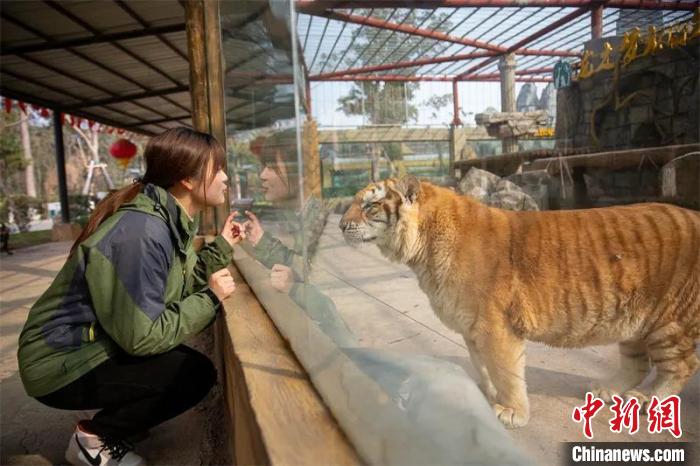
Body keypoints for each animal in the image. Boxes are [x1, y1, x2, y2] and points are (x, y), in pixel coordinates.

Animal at [340, 177, 700, 428]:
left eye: (370, 206)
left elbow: (505, 371)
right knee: (638, 363)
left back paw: (648, 401)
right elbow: (482, 367)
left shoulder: (495, 326)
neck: (423, 251)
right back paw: (607, 391)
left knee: (681, 365)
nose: (341, 225)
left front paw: (512, 412)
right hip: (633, 322)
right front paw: (483, 394)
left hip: (671, 322)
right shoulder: (471, 327)